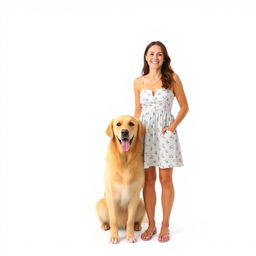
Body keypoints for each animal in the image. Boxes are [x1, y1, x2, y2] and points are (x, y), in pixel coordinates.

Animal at [95, 115, 145, 243]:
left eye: (131, 124)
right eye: (118, 124)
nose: (124, 132)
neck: (125, 160)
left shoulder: (134, 197)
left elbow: (130, 221)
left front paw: (130, 236)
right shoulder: (111, 197)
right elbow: (113, 221)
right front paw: (114, 237)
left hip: (141, 203)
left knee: (134, 221)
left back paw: (137, 226)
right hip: (100, 203)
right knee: (107, 221)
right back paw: (105, 225)